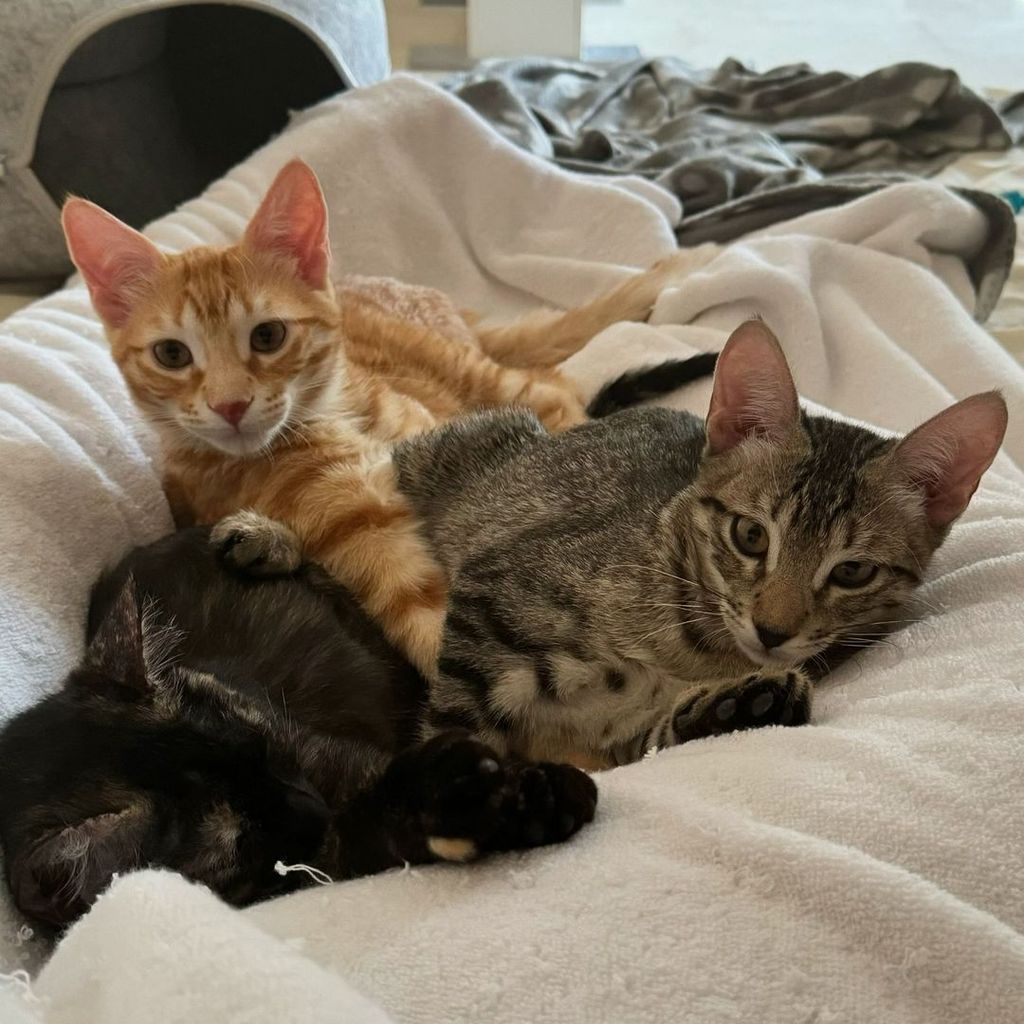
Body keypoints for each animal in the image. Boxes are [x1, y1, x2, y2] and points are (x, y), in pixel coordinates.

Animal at [0, 524, 598, 933]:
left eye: (264, 745)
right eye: (241, 839)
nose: (311, 806)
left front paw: (537, 789)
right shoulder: (323, 860)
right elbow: (376, 829)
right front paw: (518, 803)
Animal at [61, 159, 720, 671]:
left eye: (268, 336)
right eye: (172, 355)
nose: (230, 404)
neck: (340, 418)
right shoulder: (383, 555)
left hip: (487, 378)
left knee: (560, 392)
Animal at [393, 319, 1007, 770]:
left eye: (852, 572)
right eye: (751, 536)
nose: (772, 631)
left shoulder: (622, 737)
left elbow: (658, 735)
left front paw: (741, 704)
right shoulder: (495, 589)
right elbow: (457, 721)